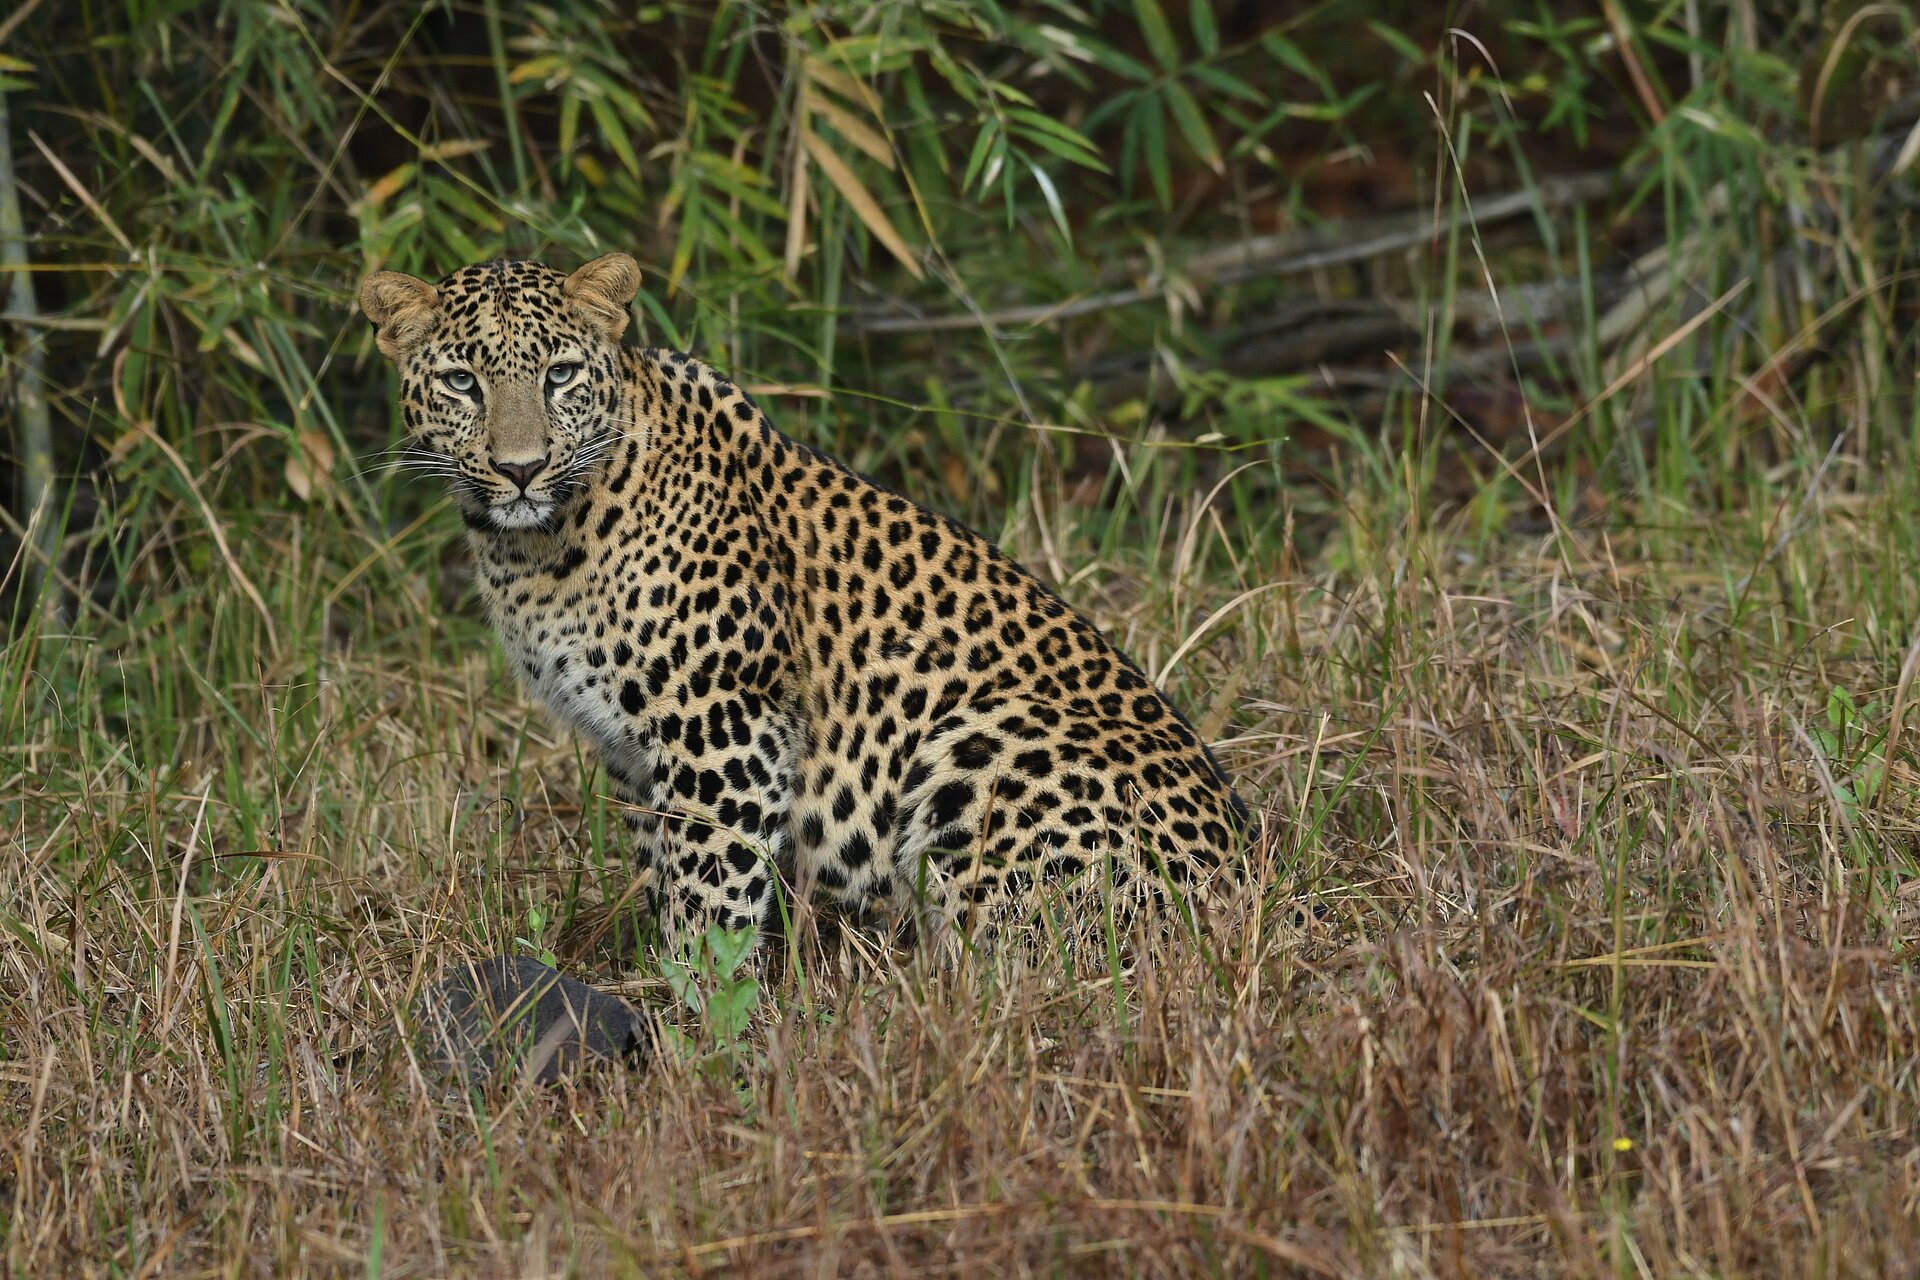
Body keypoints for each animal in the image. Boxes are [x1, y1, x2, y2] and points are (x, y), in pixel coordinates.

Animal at [359, 253, 1257, 958]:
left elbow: (707, 897)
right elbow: (664, 872)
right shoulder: (629, 751)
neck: (534, 550)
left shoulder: (723, 729)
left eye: (560, 375)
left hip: (985, 743)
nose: (520, 468)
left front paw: (695, 1029)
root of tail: (1246, 881)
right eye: (462, 382)